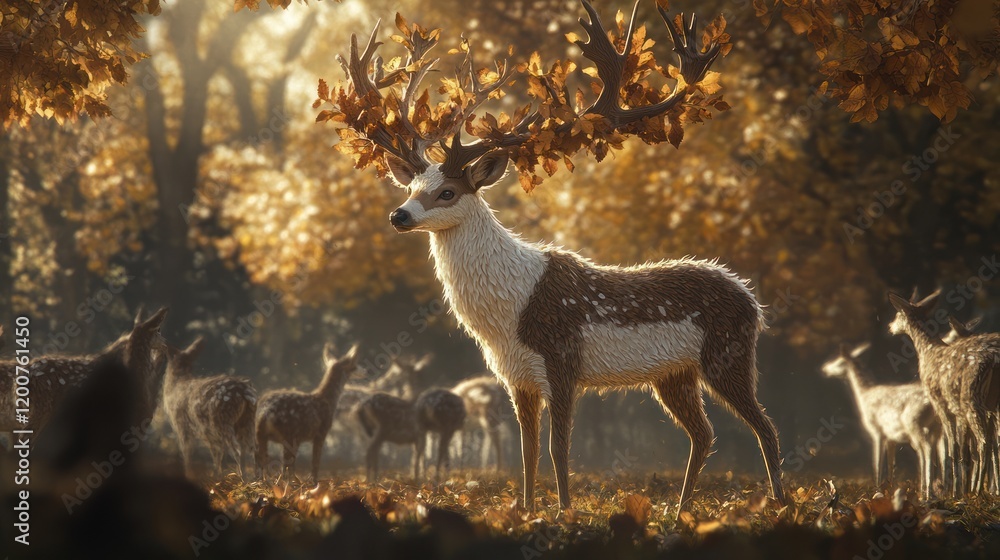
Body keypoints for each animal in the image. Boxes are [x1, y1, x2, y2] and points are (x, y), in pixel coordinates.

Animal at [162, 337, 258, 478]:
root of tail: (243, 392)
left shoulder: (182, 425)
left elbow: (188, 452)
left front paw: (190, 474)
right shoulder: (207, 432)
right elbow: (216, 454)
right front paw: (218, 475)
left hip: (222, 421)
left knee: (237, 450)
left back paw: (243, 479)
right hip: (247, 420)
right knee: (253, 449)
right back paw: (257, 480)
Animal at [255, 344, 362, 481]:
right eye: (355, 365)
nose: (365, 371)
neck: (328, 400)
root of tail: (265, 413)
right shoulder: (320, 433)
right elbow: (315, 462)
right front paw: (314, 483)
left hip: (260, 434)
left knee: (262, 462)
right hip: (288, 434)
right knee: (283, 464)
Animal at [328, 0, 785, 511]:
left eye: (447, 192)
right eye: (410, 187)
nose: (399, 215)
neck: (508, 315)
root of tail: (754, 302)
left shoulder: (562, 359)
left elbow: (557, 447)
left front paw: (565, 511)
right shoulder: (516, 374)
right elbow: (526, 450)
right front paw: (526, 510)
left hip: (727, 354)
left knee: (766, 426)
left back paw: (780, 502)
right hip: (674, 374)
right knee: (703, 434)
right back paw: (680, 508)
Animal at [822, 343, 944, 499]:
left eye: (838, 361)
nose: (825, 369)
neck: (864, 396)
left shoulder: (877, 431)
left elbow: (877, 463)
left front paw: (876, 491)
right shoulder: (891, 437)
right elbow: (891, 464)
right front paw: (890, 489)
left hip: (914, 423)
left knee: (927, 449)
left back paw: (927, 494)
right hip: (936, 427)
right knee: (934, 451)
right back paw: (930, 492)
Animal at [889, 290, 1000, 496]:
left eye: (898, 314)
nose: (890, 327)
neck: (928, 351)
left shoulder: (940, 403)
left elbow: (953, 448)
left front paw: (956, 491)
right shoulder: (957, 409)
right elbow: (962, 450)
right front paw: (959, 488)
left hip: (971, 398)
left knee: (984, 442)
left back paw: (978, 491)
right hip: (989, 403)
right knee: (990, 442)